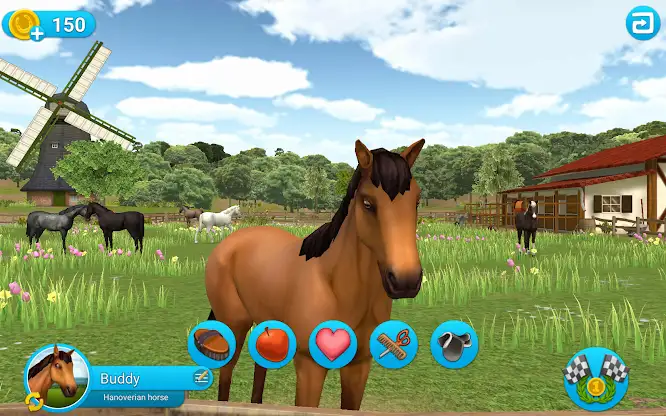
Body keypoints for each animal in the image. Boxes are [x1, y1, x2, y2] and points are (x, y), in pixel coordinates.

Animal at [205, 139, 424, 410]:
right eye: (368, 204)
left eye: (417, 200)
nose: (406, 280)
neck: (337, 287)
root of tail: (229, 242)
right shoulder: (310, 367)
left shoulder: (359, 366)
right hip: (234, 325)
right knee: (226, 373)